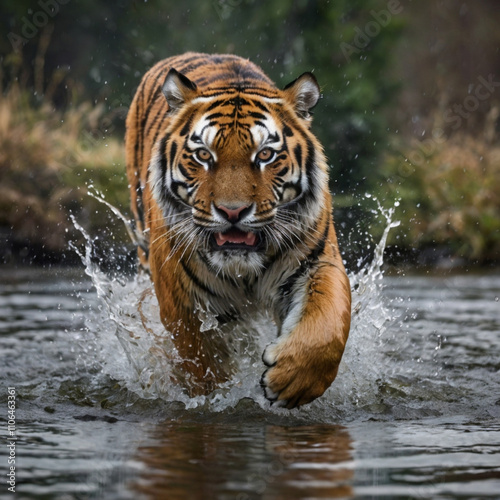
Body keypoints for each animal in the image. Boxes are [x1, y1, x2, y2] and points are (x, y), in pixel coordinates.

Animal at [125, 52, 352, 408]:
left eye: (265, 155)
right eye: (203, 155)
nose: (233, 211)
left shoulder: (316, 261)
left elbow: (328, 325)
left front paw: (292, 382)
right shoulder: (183, 301)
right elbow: (201, 362)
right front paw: (214, 396)